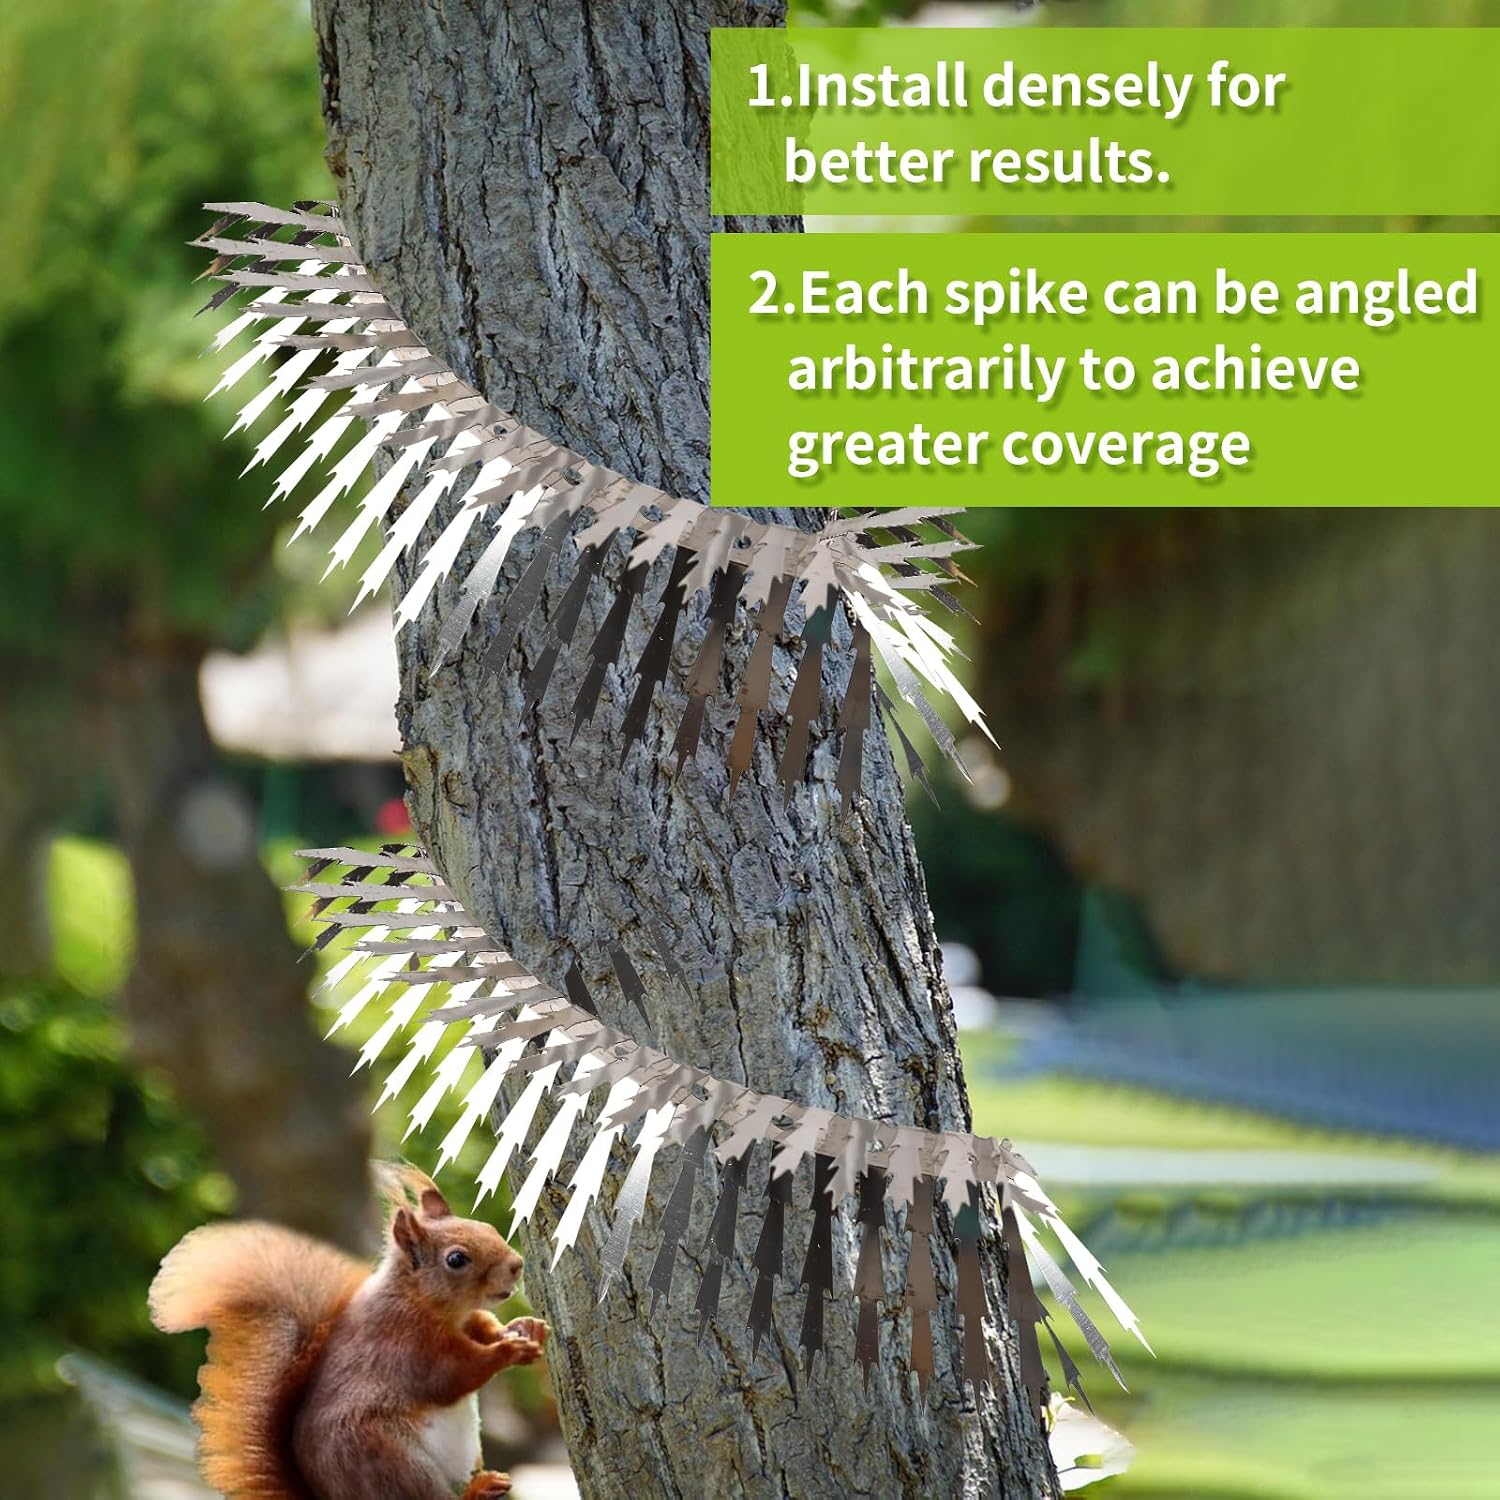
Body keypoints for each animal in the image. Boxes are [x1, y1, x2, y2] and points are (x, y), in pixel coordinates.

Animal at [149, 1164, 548, 1500]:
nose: (517, 1265)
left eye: (487, 1228)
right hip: (389, 1461)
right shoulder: (404, 1346)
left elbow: (484, 1326)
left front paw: (524, 1328)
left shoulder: (465, 1322)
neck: (430, 1306)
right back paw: (478, 1490)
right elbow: (454, 1374)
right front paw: (509, 1351)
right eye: (456, 1259)